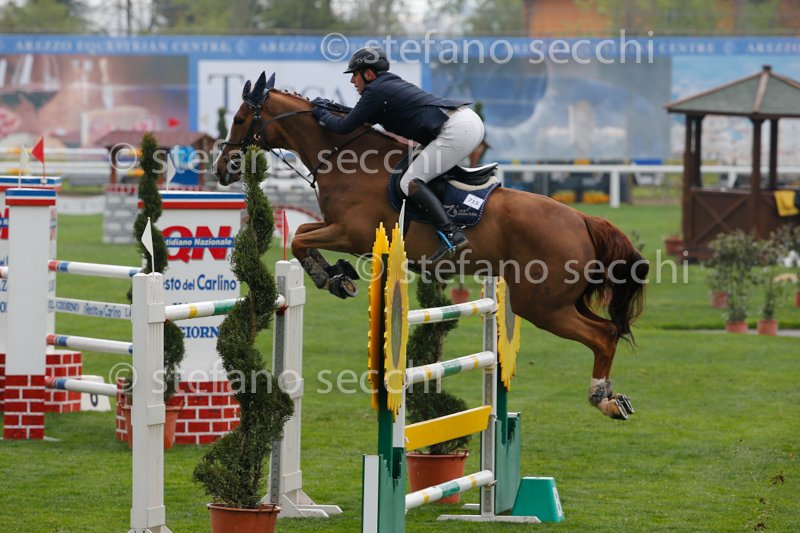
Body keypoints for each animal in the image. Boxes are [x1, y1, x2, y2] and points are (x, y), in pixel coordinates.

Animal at [215, 71, 648, 420]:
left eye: (239, 118)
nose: (222, 169)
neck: (343, 156)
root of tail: (582, 219)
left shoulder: (353, 233)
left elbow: (299, 237)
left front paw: (330, 277)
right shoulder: (337, 227)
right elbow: (302, 233)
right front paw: (338, 275)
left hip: (542, 304)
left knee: (603, 335)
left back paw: (602, 398)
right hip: (562, 299)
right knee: (609, 330)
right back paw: (614, 399)